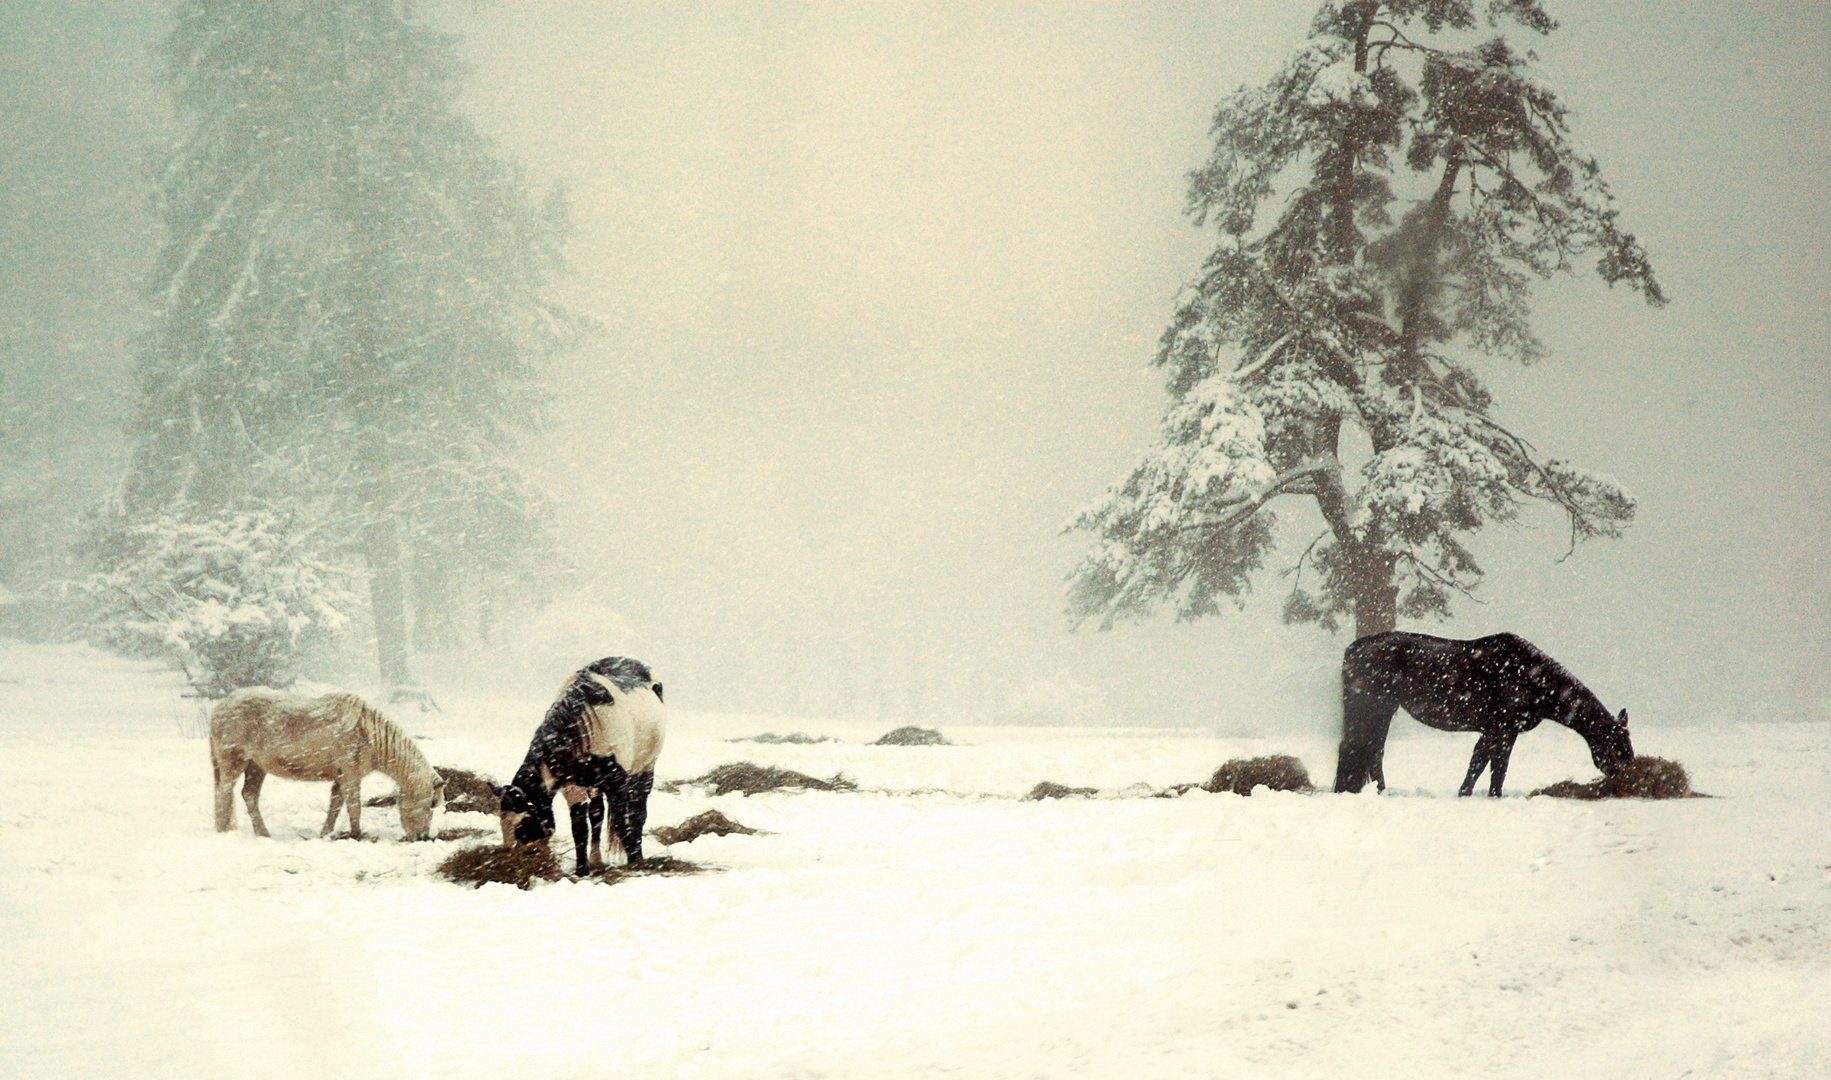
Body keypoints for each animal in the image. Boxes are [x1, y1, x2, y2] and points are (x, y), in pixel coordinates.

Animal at [208, 688, 443, 842]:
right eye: (432, 802)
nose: (422, 837)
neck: (368, 733)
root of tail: (220, 707)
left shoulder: (341, 777)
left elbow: (335, 806)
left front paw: (325, 834)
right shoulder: (350, 774)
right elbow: (354, 807)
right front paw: (357, 835)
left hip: (256, 767)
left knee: (249, 795)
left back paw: (263, 834)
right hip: (233, 763)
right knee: (224, 794)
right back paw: (224, 831)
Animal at [498, 655, 670, 874]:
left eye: (524, 823)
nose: (511, 859)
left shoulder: (617, 784)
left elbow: (622, 822)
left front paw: (635, 861)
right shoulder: (574, 787)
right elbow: (580, 827)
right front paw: (582, 870)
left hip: (645, 769)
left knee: (638, 812)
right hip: (595, 785)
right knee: (597, 815)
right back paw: (597, 860)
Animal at [1332, 629, 1633, 801]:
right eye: (1616, 747)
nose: (1627, 779)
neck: (1530, 677)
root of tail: (1355, 648)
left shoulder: (1504, 732)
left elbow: (1492, 765)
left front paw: (1484, 795)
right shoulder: (1499, 729)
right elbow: (1484, 764)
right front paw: (1473, 795)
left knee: (1369, 750)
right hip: (1377, 708)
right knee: (1369, 750)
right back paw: (1379, 792)